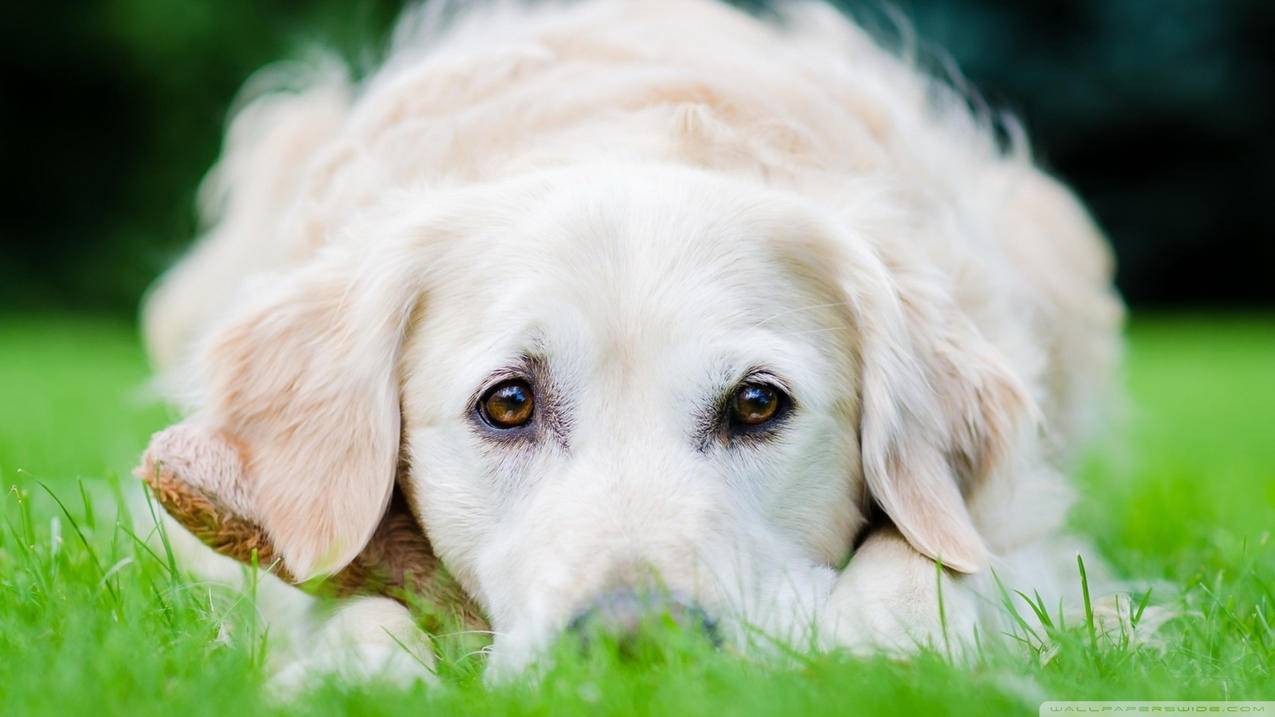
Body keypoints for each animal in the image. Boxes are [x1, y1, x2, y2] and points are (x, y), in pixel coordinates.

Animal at [142, 0, 1127, 683]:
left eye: (757, 402)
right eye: (508, 403)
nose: (634, 640)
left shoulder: (1020, 531)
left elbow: (923, 567)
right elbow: (351, 601)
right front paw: (357, 673)